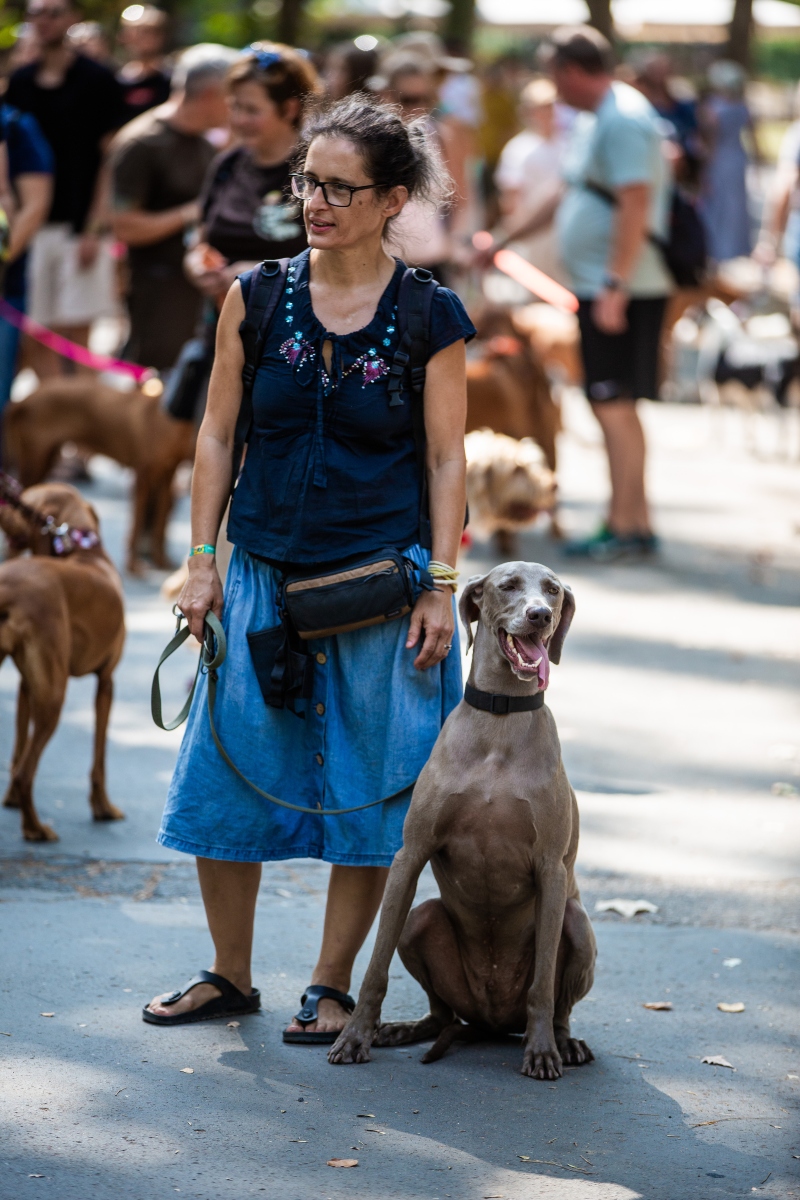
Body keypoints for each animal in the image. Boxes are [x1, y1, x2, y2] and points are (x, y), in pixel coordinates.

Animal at [0, 482, 125, 840]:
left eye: (24, 501)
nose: (2, 506)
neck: (83, 550)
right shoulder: (107, 683)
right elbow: (100, 758)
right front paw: (104, 808)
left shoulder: (26, 687)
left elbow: (16, 747)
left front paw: (9, 801)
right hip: (54, 698)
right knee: (26, 773)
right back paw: (35, 830)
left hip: (44, 690)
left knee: (21, 766)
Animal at [4, 381, 195, 573]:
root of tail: (23, 400)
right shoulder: (142, 479)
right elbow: (136, 527)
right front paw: (134, 566)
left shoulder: (167, 478)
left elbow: (160, 525)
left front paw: (161, 561)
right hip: (34, 461)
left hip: (46, 459)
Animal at [328, 559, 597, 1080]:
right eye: (508, 586)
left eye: (553, 590)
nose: (540, 616)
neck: (501, 721)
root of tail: (491, 1024)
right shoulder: (409, 856)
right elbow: (374, 968)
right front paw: (354, 1036)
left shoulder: (552, 870)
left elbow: (542, 986)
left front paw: (541, 1052)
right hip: (422, 920)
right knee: (441, 1011)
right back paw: (404, 1029)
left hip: (576, 923)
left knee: (557, 1003)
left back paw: (561, 1041)